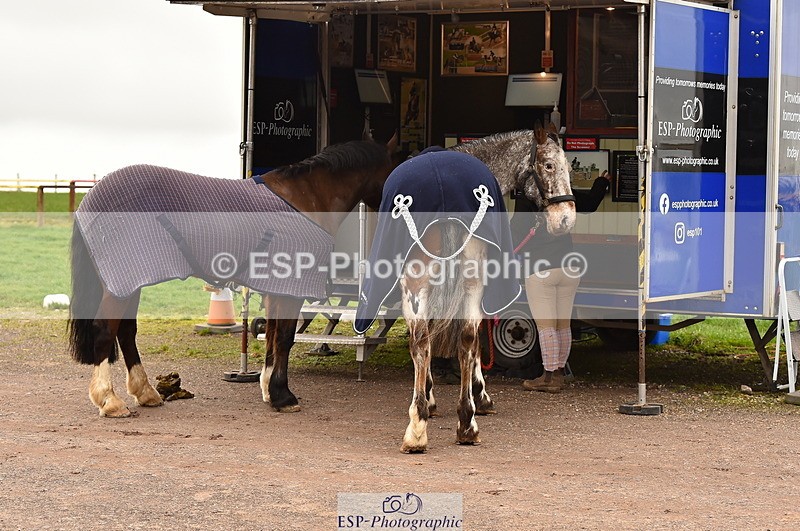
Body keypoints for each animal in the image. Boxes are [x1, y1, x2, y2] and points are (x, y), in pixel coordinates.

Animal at [68, 136, 398, 418]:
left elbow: (272, 335)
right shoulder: (290, 288)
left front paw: (268, 390)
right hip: (123, 282)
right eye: (397, 167)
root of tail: (93, 196)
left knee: (126, 332)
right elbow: (285, 338)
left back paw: (146, 393)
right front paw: (283, 396)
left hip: (128, 281)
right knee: (105, 330)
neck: (307, 197)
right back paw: (110, 401)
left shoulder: (275, 287)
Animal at [355, 122, 575, 452]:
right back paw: (465, 423)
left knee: (423, 342)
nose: (566, 220)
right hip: (465, 284)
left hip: (416, 288)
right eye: (549, 165)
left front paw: (437, 398)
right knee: (466, 337)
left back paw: (419, 427)